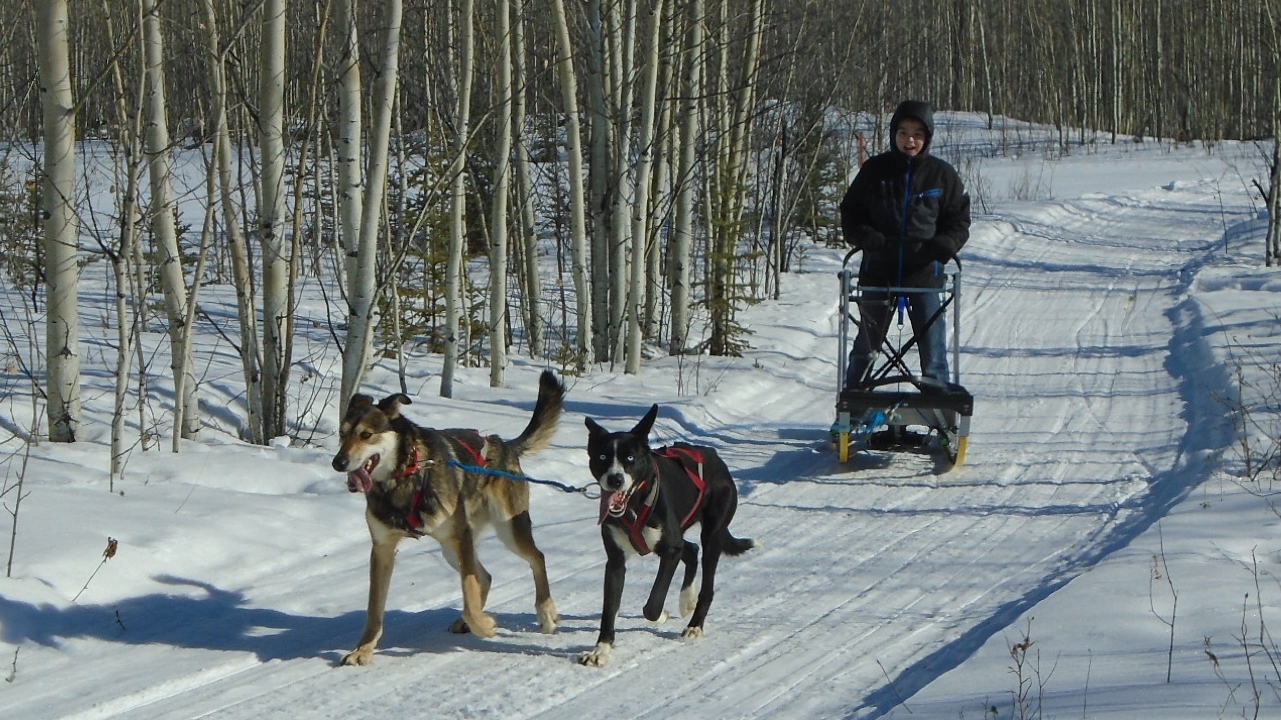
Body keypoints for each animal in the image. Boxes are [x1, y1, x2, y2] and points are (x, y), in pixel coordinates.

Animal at [333, 368, 563, 661]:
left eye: (366, 435)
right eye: (342, 435)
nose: (338, 462)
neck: (404, 478)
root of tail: (503, 444)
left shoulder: (459, 536)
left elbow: (469, 597)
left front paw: (485, 626)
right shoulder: (382, 549)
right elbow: (374, 610)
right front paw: (363, 650)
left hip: (505, 531)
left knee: (536, 558)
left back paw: (545, 613)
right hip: (451, 550)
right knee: (485, 577)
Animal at [579, 407, 748, 666]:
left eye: (630, 458)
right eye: (602, 457)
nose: (615, 479)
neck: (635, 505)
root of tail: (714, 457)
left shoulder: (669, 552)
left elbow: (652, 605)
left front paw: (660, 615)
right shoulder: (616, 561)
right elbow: (609, 609)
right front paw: (601, 650)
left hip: (712, 534)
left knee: (706, 580)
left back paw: (695, 624)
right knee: (692, 550)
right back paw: (686, 600)